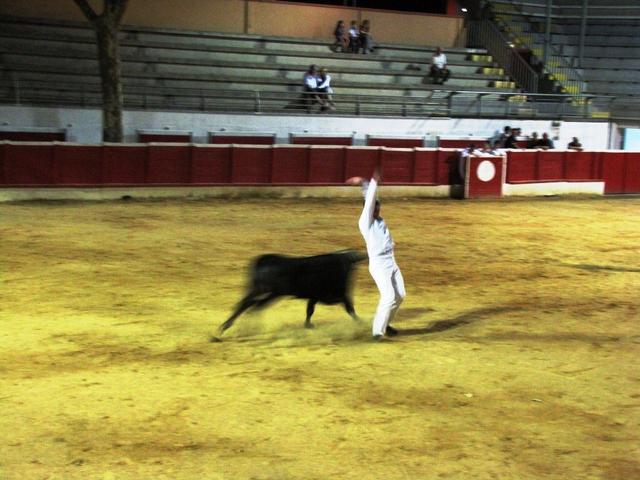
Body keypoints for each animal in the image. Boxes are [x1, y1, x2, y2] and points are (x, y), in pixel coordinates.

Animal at [219, 251, 364, 334]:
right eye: (348, 268)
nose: (347, 283)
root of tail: (265, 260)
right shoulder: (328, 295)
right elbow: (349, 308)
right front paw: (361, 323)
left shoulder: (315, 297)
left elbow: (310, 310)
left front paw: (308, 325)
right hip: (270, 292)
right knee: (251, 305)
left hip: (266, 291)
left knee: (250, 305)